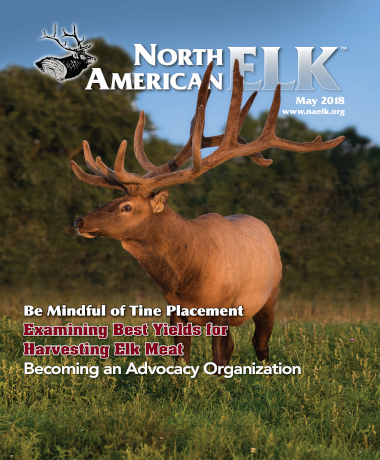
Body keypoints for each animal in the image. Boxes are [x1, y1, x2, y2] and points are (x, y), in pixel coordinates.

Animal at [69, 61, 344, 368]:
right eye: (113, 198)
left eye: (126, 207)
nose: (79, 221)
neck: (187, 275)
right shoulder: (174, 308)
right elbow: (181, 359)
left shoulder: (225, 307)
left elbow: (219, 360)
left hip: (271, 295)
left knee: (261, 344)